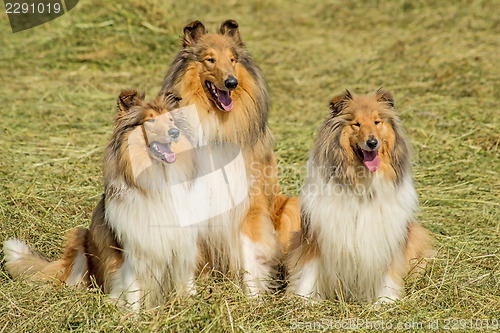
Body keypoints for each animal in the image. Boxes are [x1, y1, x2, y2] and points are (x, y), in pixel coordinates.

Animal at [3, 89, 205, 308]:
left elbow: (186, 278)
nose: (174, 132)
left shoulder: (184, 242)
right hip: (80, 238)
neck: (159, 177)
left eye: (171, 120)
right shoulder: (130, 247)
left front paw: (192, 303)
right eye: (150, 121)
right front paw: (132, 314)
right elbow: (133, 288)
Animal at [162, 18, 298, 294]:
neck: (216, 125)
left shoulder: (248, 201)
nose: (232, 82)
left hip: (289, 208)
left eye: (233, 59)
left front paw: (253, 296)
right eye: (210, 60)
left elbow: (250, 252)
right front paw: (189, 294)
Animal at [288, 89, 432, 302]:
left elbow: (388, 271)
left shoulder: (386, 237)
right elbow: (309, 269)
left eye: (377, 122)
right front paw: (304, 300)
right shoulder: (317, 234)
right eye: (356, 124)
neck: (362, 184)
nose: (372, 143)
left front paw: (385, 301)